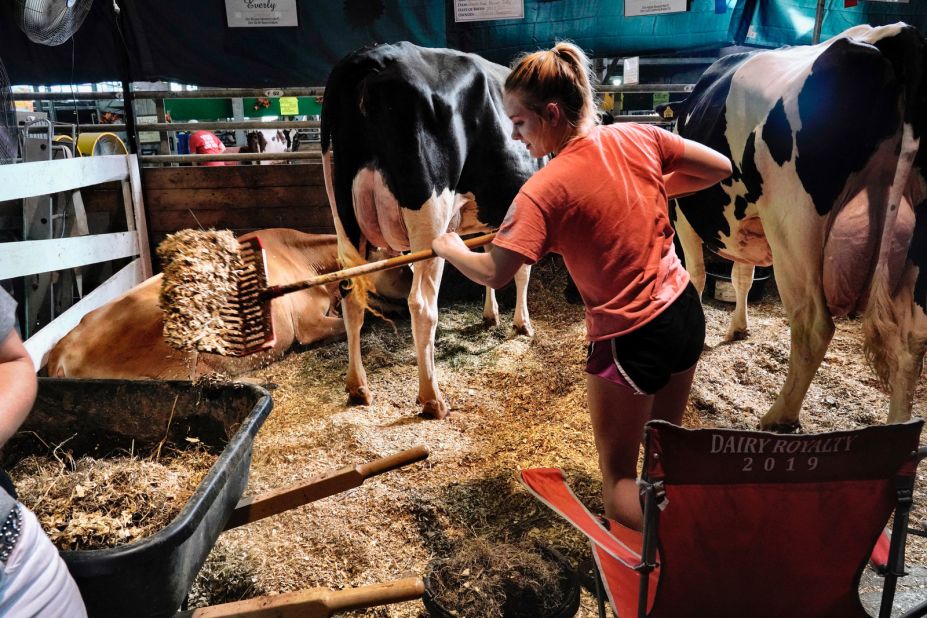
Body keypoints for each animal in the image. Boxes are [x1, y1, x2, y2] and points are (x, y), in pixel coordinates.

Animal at [322, 42, 536, 418]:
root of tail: (375, 58)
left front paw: (492, 315)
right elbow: (520, 271)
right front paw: (521, 323)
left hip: (344, 218)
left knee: (351, 297)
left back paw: (358, 387)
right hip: (429, 218)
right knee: (421, 304)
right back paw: (432, 397)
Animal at [668, 24, 927, 428]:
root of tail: (892, 34)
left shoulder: (683, 213)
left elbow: (694, 275)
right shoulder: (746, 226)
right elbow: (742, 277)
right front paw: (738, 327)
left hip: (794, 225)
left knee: (813, 325)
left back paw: (779, 415)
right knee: (911, 339)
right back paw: (900, 427)